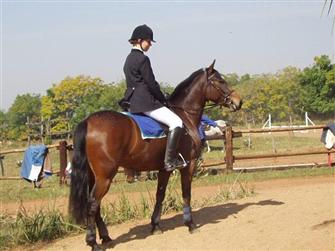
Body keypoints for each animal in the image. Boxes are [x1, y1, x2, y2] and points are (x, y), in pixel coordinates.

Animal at [69, 60, 242, 249]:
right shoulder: (189, 165)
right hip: (105, 177)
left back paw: (106, 237)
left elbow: (160, 194)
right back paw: (93, 242)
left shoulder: (164, 168)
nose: (238, 101)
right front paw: (190, 224)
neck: (185, 115)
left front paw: (155, 225)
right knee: (92, 204)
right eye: (220, 81)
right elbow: (186, 193)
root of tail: (88, 121)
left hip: (94, 176)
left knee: (96, 205)